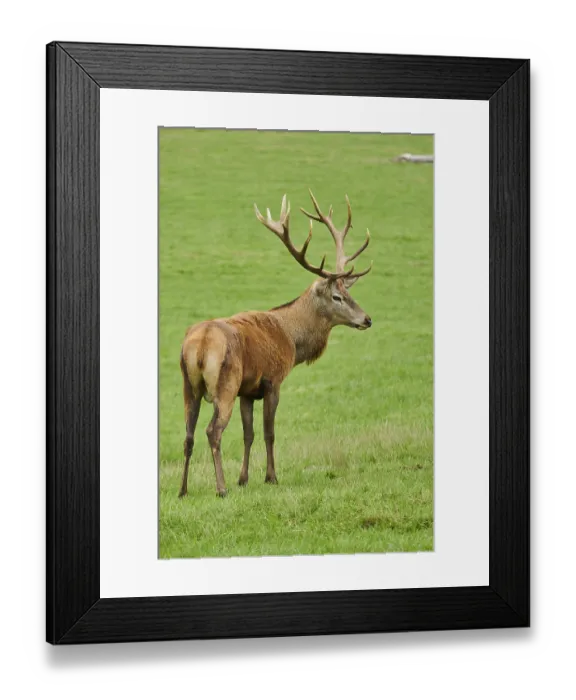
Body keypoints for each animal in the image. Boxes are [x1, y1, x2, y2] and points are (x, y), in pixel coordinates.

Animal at [178, 190, 373, 498]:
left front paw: (244, 479)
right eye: (337, 297)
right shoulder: (272, 380)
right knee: (213, 430)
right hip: (225, 383)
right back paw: (221, 488)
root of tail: (201, 344)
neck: (291, 338)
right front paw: (271, 477)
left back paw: (183, 490)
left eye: (348, 292)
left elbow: (248, 434)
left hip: (189, 385)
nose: (367, 319)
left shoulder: (247, 391)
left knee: (188, 433)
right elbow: (269, 432)